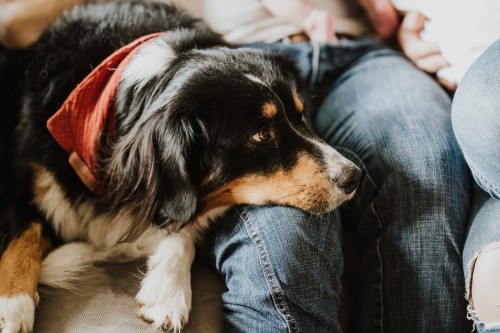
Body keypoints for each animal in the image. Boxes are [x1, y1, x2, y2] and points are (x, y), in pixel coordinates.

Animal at [0, 1, 362, 330]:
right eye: (262, 134)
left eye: (301, 116)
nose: (354, 177)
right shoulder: (27, 188)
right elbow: (23, 238)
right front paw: (11, 306)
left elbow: (182, 223)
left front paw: (167, 290)